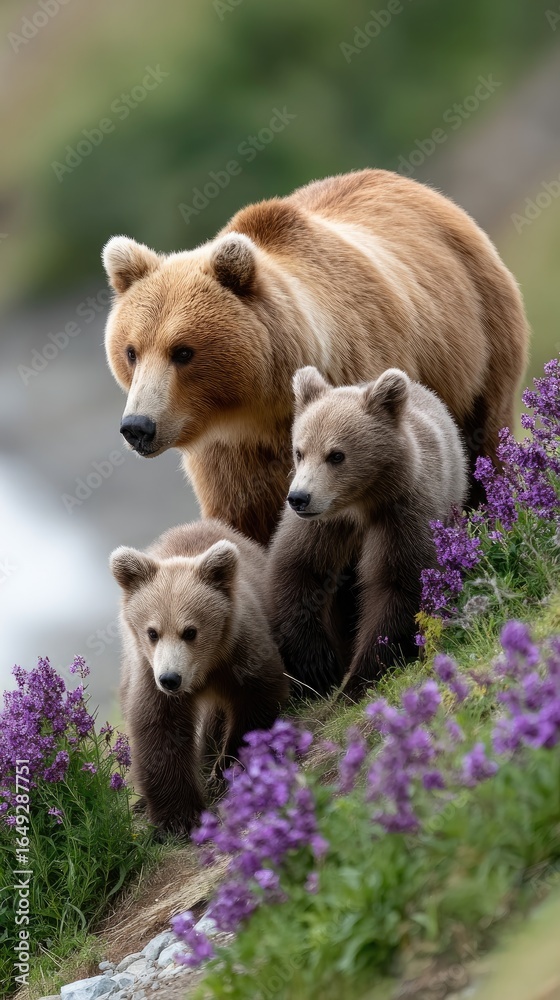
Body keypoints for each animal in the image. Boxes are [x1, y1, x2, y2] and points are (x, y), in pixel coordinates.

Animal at [102, 168, 529, 544]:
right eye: (131, 351)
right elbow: (242, 524)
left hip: (482, 338)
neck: (261, 410)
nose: (138, 426)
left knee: (485, 437)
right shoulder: (228, 457)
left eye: (183, 351)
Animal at [110, 518, 288, 836]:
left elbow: (257, 701)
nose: (170, 679)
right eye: (152, 632)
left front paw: (228, 767)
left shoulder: (240, 653)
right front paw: (178, 816)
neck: (204, 670)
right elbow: (159, 731)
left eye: (190, 631)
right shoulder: (148, 674)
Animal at [266, 366, 468, 700]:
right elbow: (297, 569)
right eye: (299, 451)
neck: (359, 503)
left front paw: (357, 679)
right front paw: (318, 667)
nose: (299, 498)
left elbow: (397, 587)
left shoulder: (402, 515)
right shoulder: (322, 526)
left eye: (336, 455)